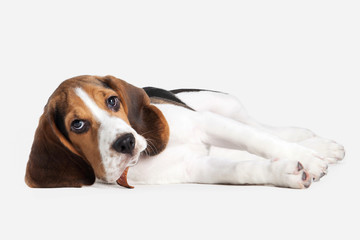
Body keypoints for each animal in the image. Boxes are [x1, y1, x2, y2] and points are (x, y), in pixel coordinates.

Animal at [23, 75, 344, 189]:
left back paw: (319, 145)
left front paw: (309, 158)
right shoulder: (195, 168)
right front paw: (287, 172)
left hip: (225, 107)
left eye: (112, 101)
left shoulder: (205, 123)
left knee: (263, 129)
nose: (126, 142)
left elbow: (259, 140)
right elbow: (243, 169)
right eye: (77, 125)